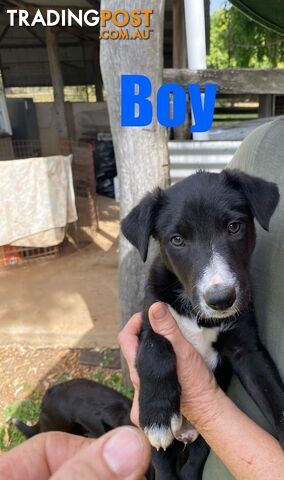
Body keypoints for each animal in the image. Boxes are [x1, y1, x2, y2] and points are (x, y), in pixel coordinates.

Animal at [121, 170, 284, 480]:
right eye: (177, 239)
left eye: (234, 227)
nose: (220, 299)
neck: (200, 318)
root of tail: (186, 433)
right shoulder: (150, 318)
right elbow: (155, 353)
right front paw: (158, 416)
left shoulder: (246, 349)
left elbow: (273, 395)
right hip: (164, 450)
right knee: (163, 464)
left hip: (203, 441)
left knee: (194, 459)